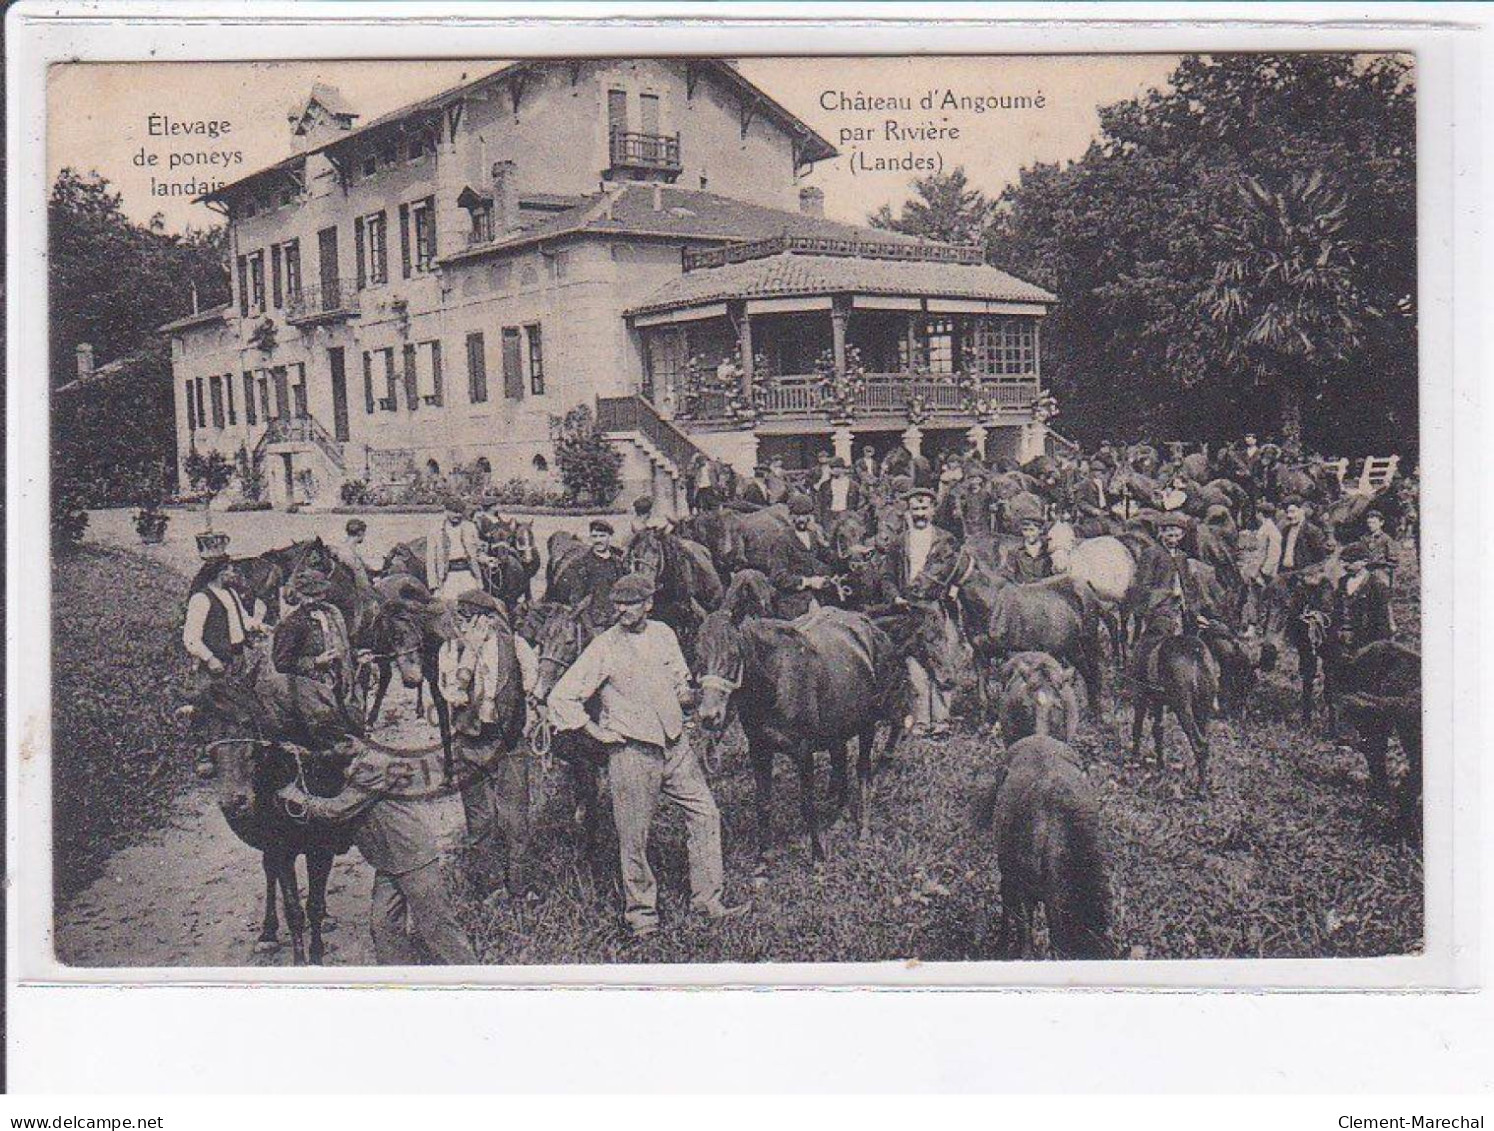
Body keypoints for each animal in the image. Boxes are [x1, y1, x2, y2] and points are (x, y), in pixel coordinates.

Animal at [176, 654, 357, 962]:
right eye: (203, 734)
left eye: (249, 722)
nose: (234, 800)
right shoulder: (278, 846)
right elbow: (293, 909)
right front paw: (299, 958)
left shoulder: (322, 845)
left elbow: (314, 905)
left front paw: (317, 954)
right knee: (269, 870)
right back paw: (268, 933)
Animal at [699, 567, 908, 860]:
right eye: (698, 654)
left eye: (732, 654)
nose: (709, 716)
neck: (775, 681)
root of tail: (866, 623)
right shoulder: (759, 749)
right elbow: (763, 803)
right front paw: (764, 855)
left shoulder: (803, 751)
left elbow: (807, 804)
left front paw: (818, 855)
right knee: (840, 763)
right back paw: (839, 815)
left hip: (867, 724)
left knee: (863, 771)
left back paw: (863, 829)